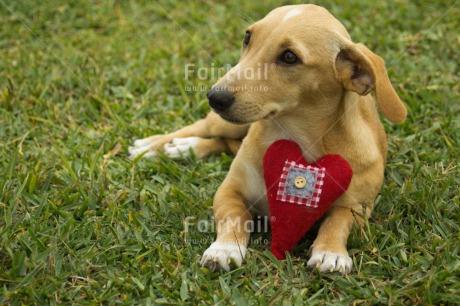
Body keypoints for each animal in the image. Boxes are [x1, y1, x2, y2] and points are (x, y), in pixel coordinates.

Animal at [129, 4, 406, 272]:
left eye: (289, 57)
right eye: (247, 37)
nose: (214, 97)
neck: (294, 136)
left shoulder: (356, 206)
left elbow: (337, 222)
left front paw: (331, 252)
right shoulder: (230, 191)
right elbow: (233, 218)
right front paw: (225, 249)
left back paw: (186, 148)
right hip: (224, 124)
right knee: (204, 128)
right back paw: (157, 146)